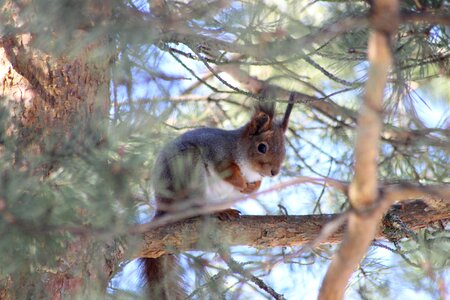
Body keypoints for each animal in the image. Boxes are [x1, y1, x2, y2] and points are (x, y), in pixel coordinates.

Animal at [142, 93, 296, 298]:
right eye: (262, 147)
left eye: (284, 149)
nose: (274, 172)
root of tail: (163, 206)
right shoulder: (215, 150)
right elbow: (226, 169)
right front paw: (240, 181)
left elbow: (255, 185)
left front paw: (252, 187)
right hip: (189, 170)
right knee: (195, 207)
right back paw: (213, 212)